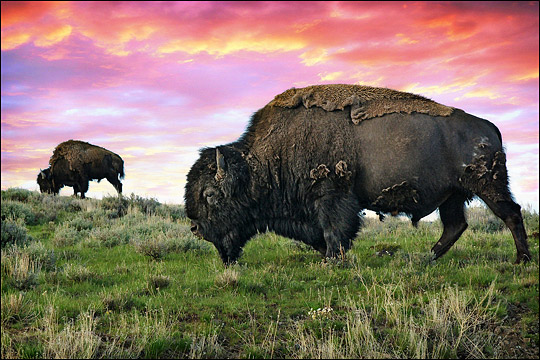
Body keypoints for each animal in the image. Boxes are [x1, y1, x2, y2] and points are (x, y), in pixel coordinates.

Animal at [186, 84, 532, 264]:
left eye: (210, 195)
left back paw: (522, 259)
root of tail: (489, 127)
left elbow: (332, 230)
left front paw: (331, 259)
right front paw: (329, 256)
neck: (263, 160)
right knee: (455, 225)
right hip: (453, 195)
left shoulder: (331, 195)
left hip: (488, 185)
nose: (195, 228)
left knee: (511, 213)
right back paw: (428, 257)